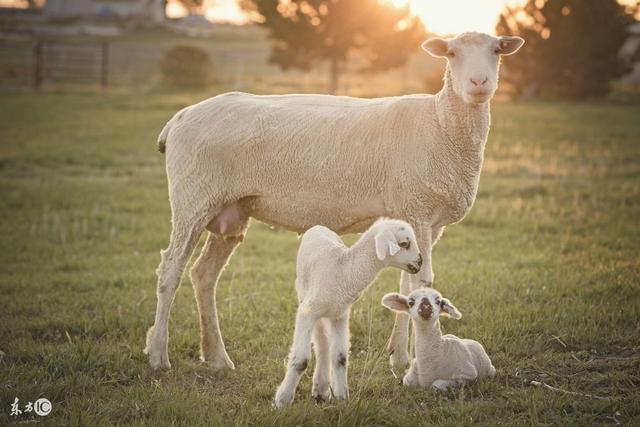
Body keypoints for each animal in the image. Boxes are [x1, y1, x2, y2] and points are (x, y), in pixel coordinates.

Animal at [145, 31, 524, 372]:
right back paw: (158, 356)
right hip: (193, 199)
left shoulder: (421, 218)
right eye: (451, 53)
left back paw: (217, 358)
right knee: (171, 271)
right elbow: (422, 281)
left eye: (496, 50)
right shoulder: (417, 209)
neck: (440, 122)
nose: (479, 82)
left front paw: (399, 355)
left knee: (203, 275)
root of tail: (178, 119)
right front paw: (414, 358)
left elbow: (408, 280)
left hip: (230, 210)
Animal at [272, 219, 422, 410]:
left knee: (324, 345)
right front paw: (281, 401)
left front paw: (341, 398)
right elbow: (301, 360)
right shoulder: (307, 312)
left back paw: (321, 389)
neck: (343, 271)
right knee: (321, 342)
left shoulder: (340, 315)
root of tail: (319, 226)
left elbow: (340, 357)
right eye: (404, 244)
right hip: (304, 295)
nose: (420, 262)